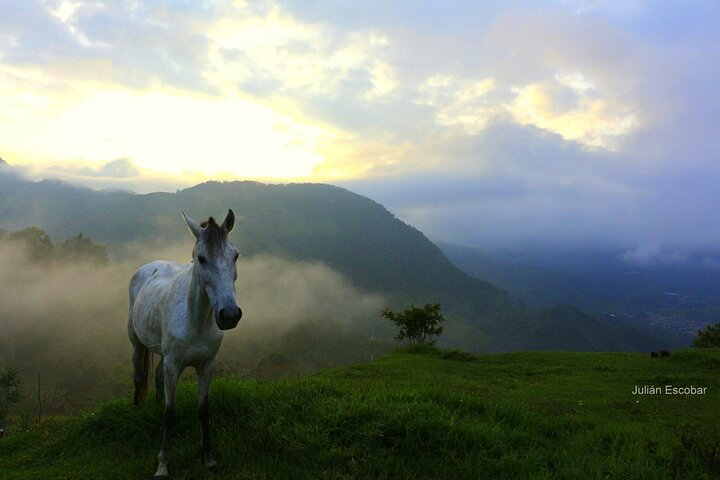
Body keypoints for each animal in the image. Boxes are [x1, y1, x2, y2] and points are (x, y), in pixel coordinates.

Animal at [128, 211, 243, 480]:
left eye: (235, 255)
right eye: (201, 258)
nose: (229, 315)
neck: (196, 320)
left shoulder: (207, 366)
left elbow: (204, 410)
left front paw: (208, 457)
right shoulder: (174, 366)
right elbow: (170, 415)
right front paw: (162, 464)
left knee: (157, 375)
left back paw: (155, 403)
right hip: (137, 343)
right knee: (139, 375)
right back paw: (137, 408)